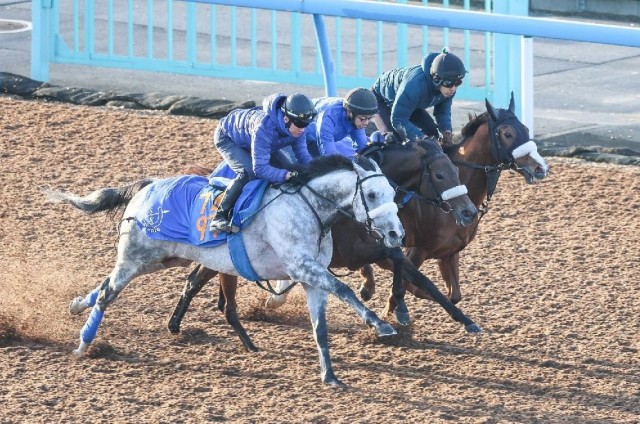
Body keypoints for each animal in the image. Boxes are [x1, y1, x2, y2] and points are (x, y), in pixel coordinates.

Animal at [50, 155, 402, 384]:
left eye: (393, 193)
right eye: (372, 194)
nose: (396, 234)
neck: (307, 206)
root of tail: (148, 186)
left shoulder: (311, 279)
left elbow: (320, 328)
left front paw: (330, 376)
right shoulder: (303, 267)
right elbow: (343, 288)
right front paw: (381, 325)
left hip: (164, 259)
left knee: (105, 284)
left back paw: (76, 306)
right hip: (139, 257)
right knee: (108, 294)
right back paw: (83, 344)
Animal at [168, 139, 482, 352]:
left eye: (455, 171)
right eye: (440, 175)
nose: (468, 212)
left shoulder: (381, 248)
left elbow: (420, 278)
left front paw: (464, 320)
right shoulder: (353, 254)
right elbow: (397, 265)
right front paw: (392, 310)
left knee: (198, 277)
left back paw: (183, 321)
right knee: (196, 278)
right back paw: (180, 323)